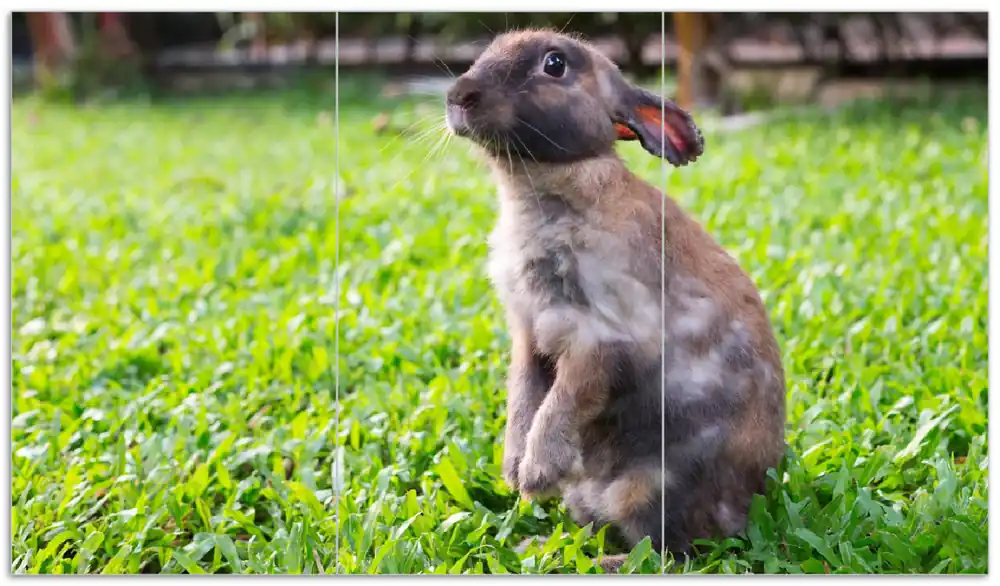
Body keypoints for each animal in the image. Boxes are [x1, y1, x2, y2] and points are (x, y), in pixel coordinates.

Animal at [444, 29, 786, 573]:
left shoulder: (599, 339)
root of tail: (746, 507)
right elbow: (524, 397)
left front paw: (534, 475)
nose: (458, 97)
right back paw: (538, 548)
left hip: (651, 490)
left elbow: (563, 402)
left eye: (555, 64)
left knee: (666, 553)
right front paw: (513, 470)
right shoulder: (528, 336)